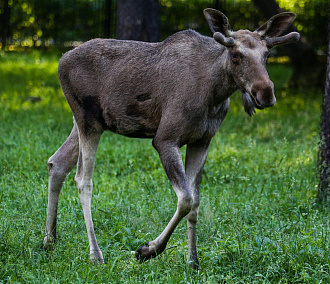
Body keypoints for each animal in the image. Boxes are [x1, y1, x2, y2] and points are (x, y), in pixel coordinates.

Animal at [43, 8, 300, 268]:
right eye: (236, 54)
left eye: (267, 54)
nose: (265, 92)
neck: (214, 93)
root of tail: (61, 60)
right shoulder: (165, 139)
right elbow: (185, 199)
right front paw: (149, 249)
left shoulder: (202, 141)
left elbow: (195, 202)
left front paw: (192, 260)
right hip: (87, 120)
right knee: (83, 179)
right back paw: (95, 253)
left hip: (90, 123)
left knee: (57, 162)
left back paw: (49, 240)